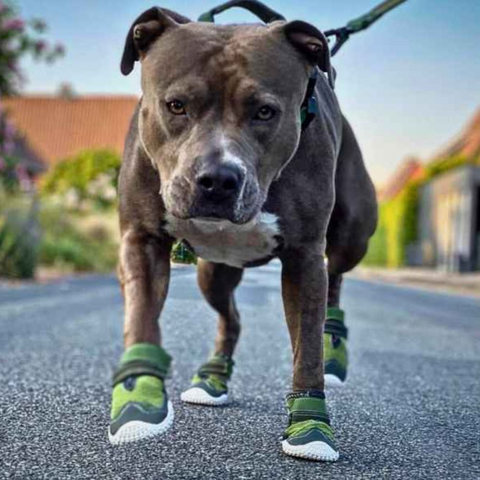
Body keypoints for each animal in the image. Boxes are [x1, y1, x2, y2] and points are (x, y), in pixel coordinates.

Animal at [109, 4, 378, 462]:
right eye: (176, 106)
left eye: (265, 111)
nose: (218, 180)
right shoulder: (142, 239)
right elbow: (141, 314)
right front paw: (138, 400)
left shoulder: (305, 256)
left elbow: (307, 347)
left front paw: (311, 426)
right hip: (212, 272)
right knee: (230, 318)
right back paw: (213, 375)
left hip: (352, 235)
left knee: (336, 276)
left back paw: (334, 346)